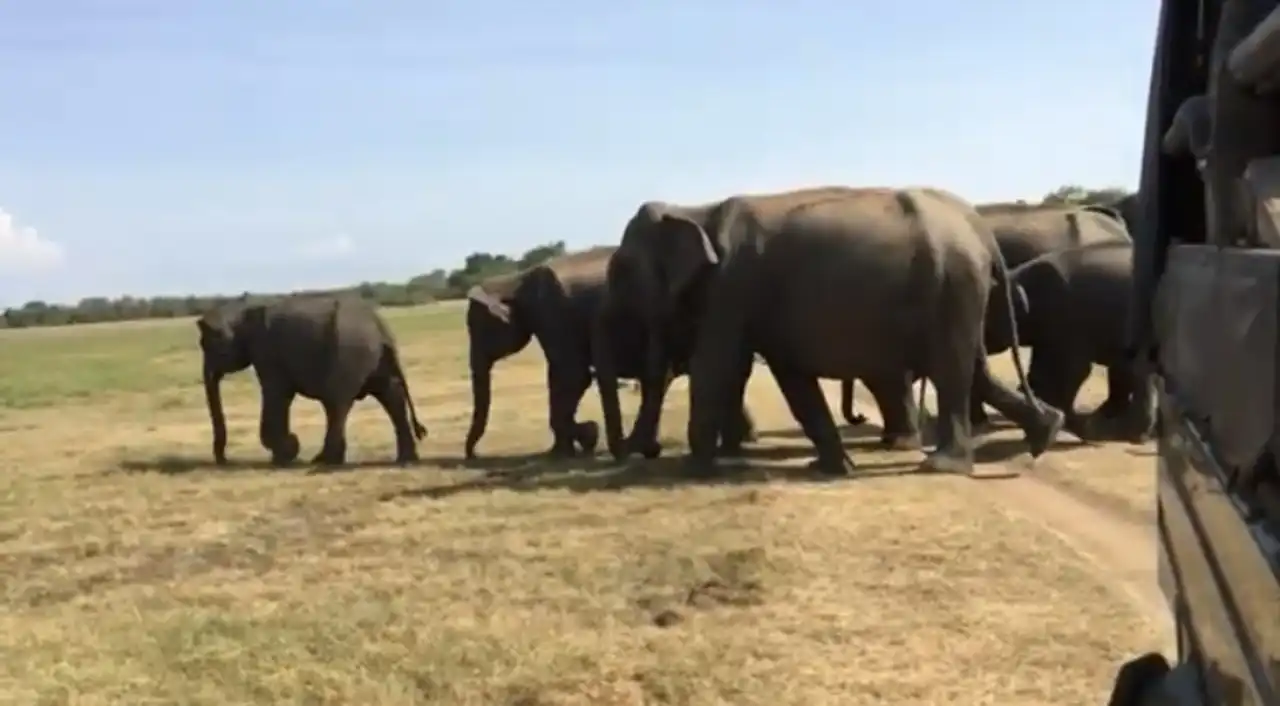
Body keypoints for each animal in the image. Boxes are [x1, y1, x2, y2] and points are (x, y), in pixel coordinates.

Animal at [198, 296, 428, 466]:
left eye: (207, 345)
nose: (224, 460)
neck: (242, 309)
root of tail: (381, 328)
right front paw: (286, 453)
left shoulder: (267, 353)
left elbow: (276, 394)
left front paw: (287, 452)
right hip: (374, 357)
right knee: (391, 396)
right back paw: (405, 460)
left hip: (350, 353)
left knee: (337, 401)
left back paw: (323, 460)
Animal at [464, 246, 756, 460]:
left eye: (478, 331)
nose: (473, 455)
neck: (514, 280)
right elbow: (560, 376)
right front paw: (564, 449)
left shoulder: (553, 313)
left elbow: (574, 375)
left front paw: (586, 438)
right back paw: (746, 438)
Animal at [597, 186, 1065, 477]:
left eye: (619, 271)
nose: (640, 455)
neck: (695, 211)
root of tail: (978, 227)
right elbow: (790, 377)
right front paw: (831, 467)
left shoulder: (731, 288)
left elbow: (717, 367)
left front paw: (690, 470)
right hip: (959, 290)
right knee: (974, 369)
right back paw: (1045, 433)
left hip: (953, 282)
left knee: (952, 369)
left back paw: (943, 466)